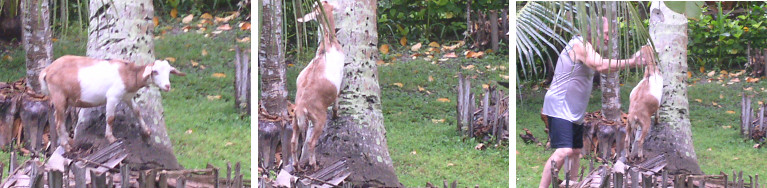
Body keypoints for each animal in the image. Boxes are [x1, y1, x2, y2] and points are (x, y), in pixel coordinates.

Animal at [40, 55, 186, 151]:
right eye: (155, 71)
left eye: (169, 71)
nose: (167, 86)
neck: (128, 74)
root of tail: (47, 70)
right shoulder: (112, 97)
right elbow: (110, 118)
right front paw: (111, 138)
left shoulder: (127, 97)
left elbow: (137, 111)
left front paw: (147, 131)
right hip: (59, 96)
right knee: (58, 122)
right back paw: (66, 146)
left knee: (59, 119)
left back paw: (67, 141)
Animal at [292, 0, 344, 170]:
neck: (328, 43)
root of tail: (302, 107)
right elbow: (337, 96)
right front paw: (336, 113)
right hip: (319, 118)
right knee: (310, 142)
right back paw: (313, 164)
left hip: (295, 119)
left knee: (293, 142)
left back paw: (296, 165)